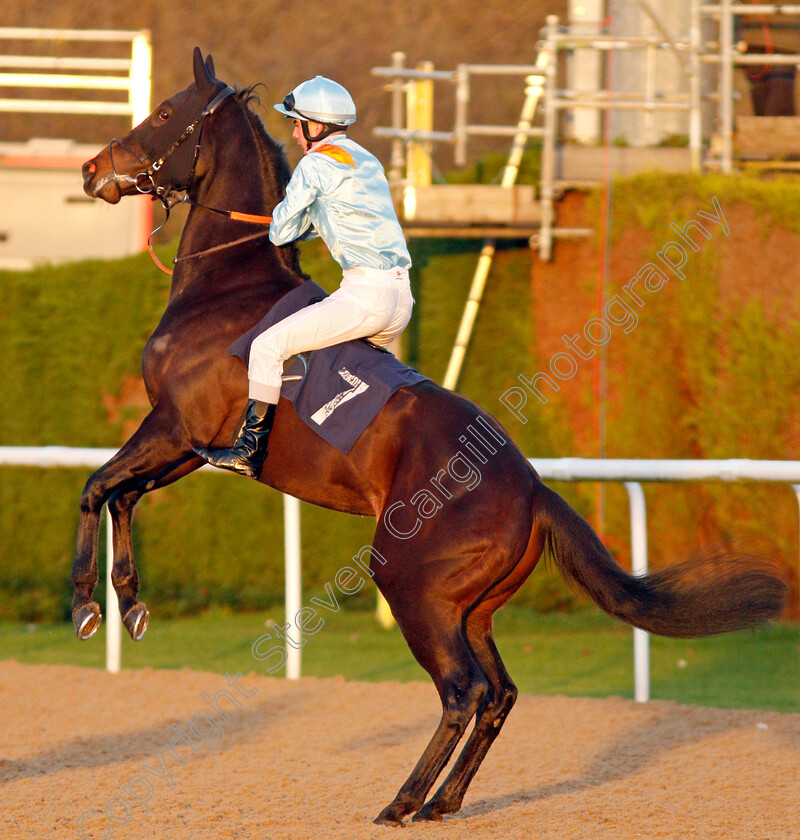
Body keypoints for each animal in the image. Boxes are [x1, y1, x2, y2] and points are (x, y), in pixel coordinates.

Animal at [76, 50, 788, 828]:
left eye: (163, 114)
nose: (91, 168)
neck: (228, 286)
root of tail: (531, 488)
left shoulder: (177, 426)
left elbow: (96, 486)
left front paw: (88, 604)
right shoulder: (185, 445)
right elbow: (122, 495)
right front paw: (128, 604)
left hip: (412, 586)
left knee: (464, 689)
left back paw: (404, 800)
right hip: (469, 607)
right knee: (500, 692)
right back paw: (444, 800)